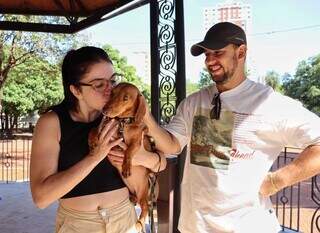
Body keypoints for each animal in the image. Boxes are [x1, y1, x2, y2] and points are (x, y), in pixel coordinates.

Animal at [88, 83, 159, 232]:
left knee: (144, 208)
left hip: (145, 192)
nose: (104, 110)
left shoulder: (137, 142)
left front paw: (126, 167)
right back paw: (132, 198)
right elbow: (93, 130)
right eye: (112, 93)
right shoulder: (104, 130)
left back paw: (139, 222)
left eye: (125, 98)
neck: (122, 122)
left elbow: (129, 151)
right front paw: (92, 142)